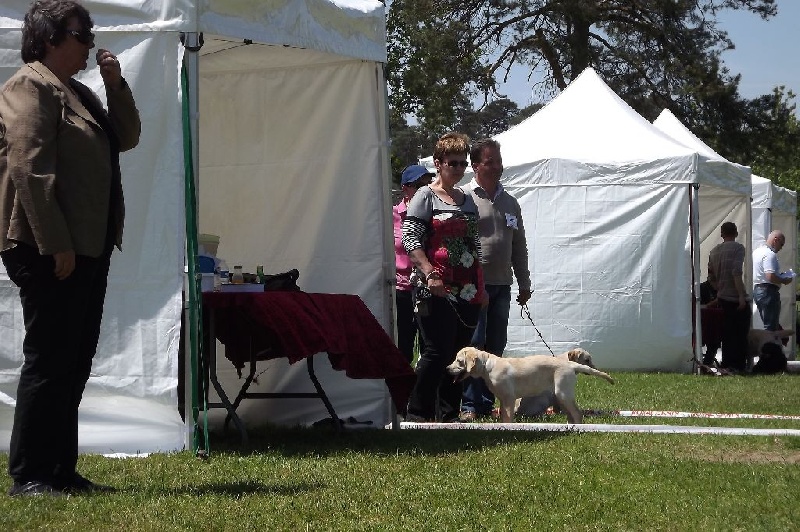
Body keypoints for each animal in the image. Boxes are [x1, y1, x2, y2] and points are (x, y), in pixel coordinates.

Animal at [444, 344, 612, 424]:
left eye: (459, 361)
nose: (446, 369)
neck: (488, 366)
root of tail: (571, 365)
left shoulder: (509, 399)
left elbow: (507, 418)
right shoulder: (503, 399)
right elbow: (503, 416)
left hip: (562, 393)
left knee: (577, 413)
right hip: (562, 397)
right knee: (572, 414)